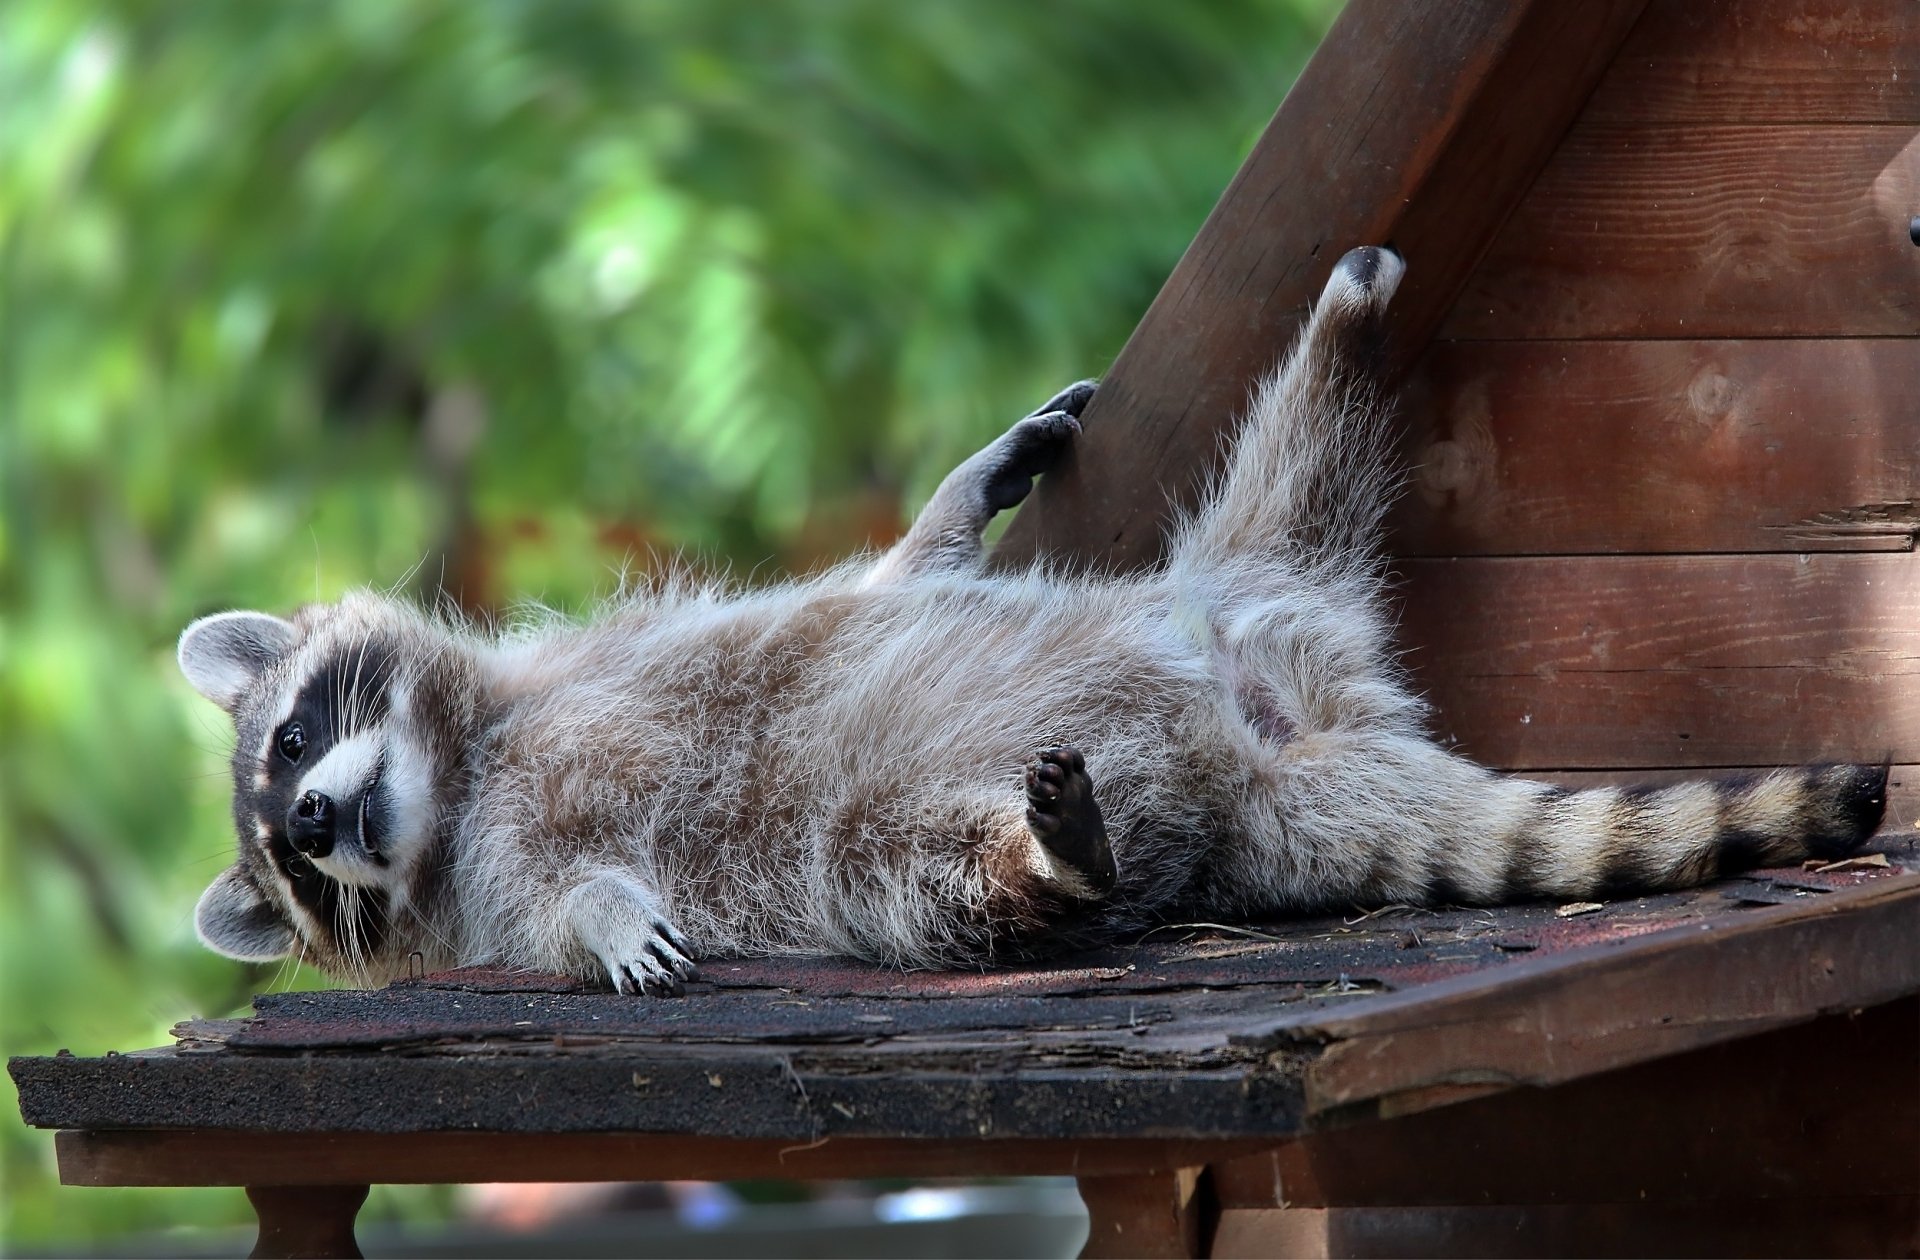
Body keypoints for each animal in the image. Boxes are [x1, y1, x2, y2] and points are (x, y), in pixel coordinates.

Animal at [180, 247, 1887, 995]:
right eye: (299, 871)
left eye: (296, 738)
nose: (317, 823)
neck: (467, 769)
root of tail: (1275, 756)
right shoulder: (493, 880)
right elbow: (553, 909)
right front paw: (605, 922)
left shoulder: (622, 653)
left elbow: (878, 585)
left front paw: (955, 499)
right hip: (947, 826)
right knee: (929, 875)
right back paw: (1046, 861)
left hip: (1253, 586)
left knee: (1301, 465)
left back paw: (1343, 331)